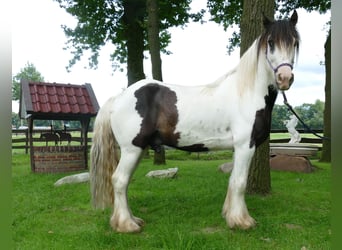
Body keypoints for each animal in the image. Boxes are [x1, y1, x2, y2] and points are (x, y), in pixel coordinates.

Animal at [90, 9, 300, 232]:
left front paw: (230, 215)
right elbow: (240, 182)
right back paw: (127, 225)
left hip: (138, 149)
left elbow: (233, 180)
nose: (284, 78)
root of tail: (118, 98)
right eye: (271, 42)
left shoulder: (238, 147)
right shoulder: (246, 145)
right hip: (132, 149)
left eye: (294, 43)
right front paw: (242, 221)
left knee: (125, 181)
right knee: (119, 180)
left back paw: (132, 219)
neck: (246, 92)